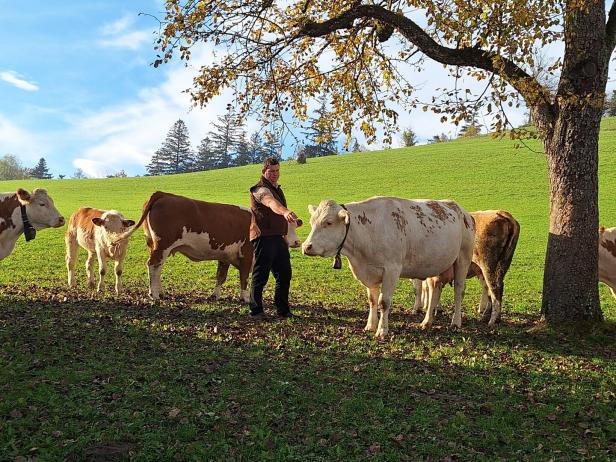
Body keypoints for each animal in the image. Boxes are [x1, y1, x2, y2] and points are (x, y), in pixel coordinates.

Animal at [113, 190, 304, 302]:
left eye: (295, 226)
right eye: (285, 227)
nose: (297, 242)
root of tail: (164, 194)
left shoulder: (225, 256)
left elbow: (221, 276)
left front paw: (215, 295)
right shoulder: (247, 255)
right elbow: (244, 278)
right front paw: (245, 298)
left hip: (155, 245)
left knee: (157, 268)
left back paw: (160, 292)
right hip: (162, 245)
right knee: (152, 266)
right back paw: (154, 294)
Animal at [300, 195, 474, 336]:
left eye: (328, 222)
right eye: (311, 222)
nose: (306, 246)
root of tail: (462, 211)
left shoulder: (392, 269)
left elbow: (384, 302)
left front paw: (382, 330)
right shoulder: (369, 272)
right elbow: (372, 300)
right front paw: (371, 325)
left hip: (462, 258)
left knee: (459, 290)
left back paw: (456, 321)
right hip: (436, 263)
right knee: (434, 291)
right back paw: (427, 321)